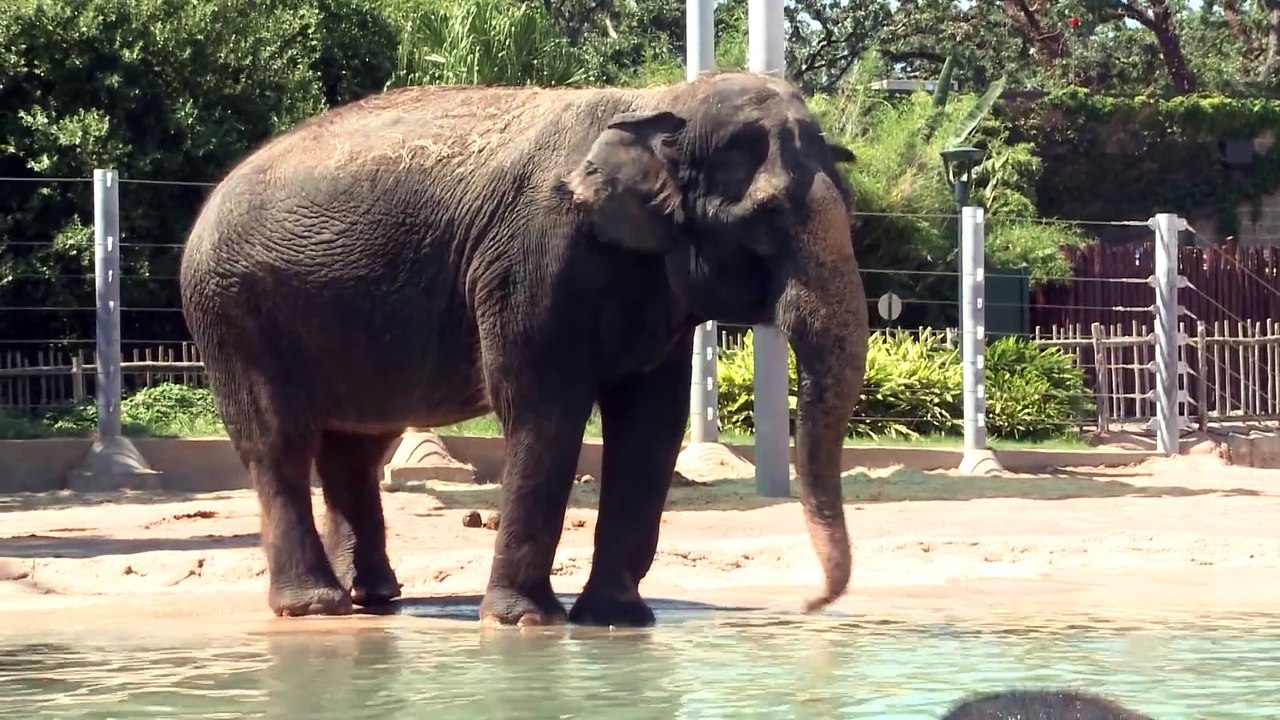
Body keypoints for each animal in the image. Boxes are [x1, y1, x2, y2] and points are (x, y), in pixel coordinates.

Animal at [178, 71, 869, 627]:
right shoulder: (532, 261)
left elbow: (651, 424)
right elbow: (545, 413)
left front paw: (617, 622)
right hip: (235, 314)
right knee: (280, 443)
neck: (660, 102)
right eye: (769, 215)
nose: (810, 604)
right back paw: (315, 608)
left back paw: (373, 599)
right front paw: (525, 623)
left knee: (357, 446)